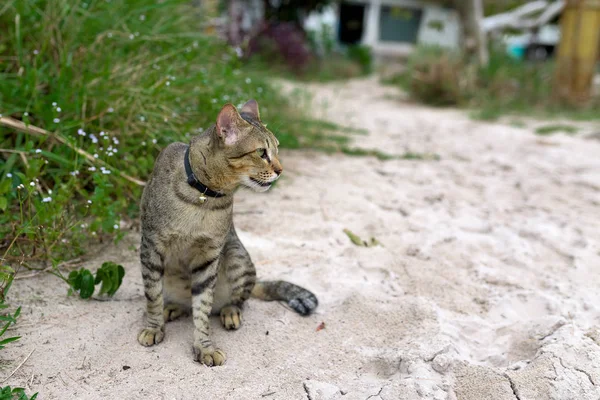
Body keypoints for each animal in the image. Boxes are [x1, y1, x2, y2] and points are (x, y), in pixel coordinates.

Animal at [137, 99, 318, 366]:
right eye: (261, 153)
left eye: (277, 149)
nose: (281, 170)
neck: (204, 197)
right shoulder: (151, 246)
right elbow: (153, 296)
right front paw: (153, 327)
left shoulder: (209, 256)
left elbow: (202, 307)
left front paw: (204, 346)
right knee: (179, 301)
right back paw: (173, 307)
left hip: (236, 255)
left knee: (237, 299)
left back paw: (230, 312)